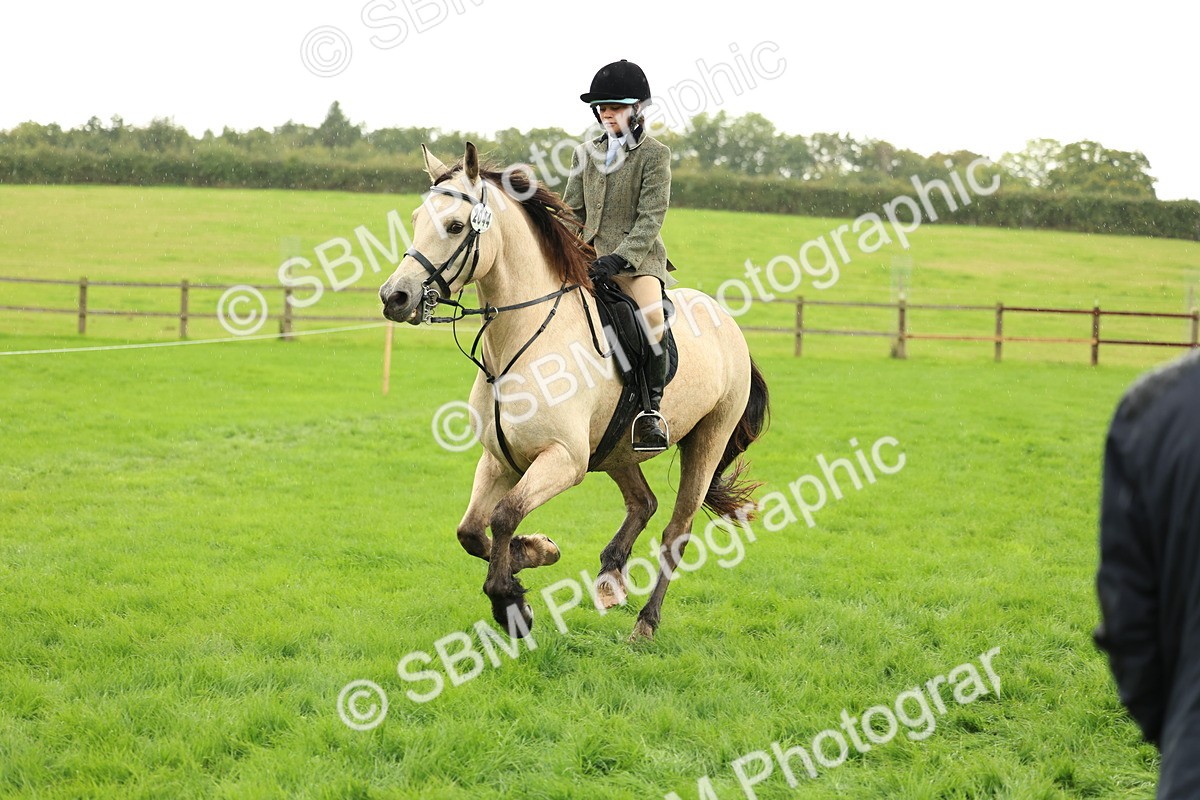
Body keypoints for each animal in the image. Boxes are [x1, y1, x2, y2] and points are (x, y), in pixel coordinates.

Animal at [379, 142, 769, 641]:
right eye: (415, 219)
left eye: (454, 226)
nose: (395, 297)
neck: (523, 340)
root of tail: (729, 323)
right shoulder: (497, 459)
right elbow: (471, 531)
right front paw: (535, 553)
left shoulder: (563, 460)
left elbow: (504, 515)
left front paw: (511, 602)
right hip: (617, 449)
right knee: (643, 502)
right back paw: (609, 580)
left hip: (707, 439)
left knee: (676, 528)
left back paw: (644, 624)